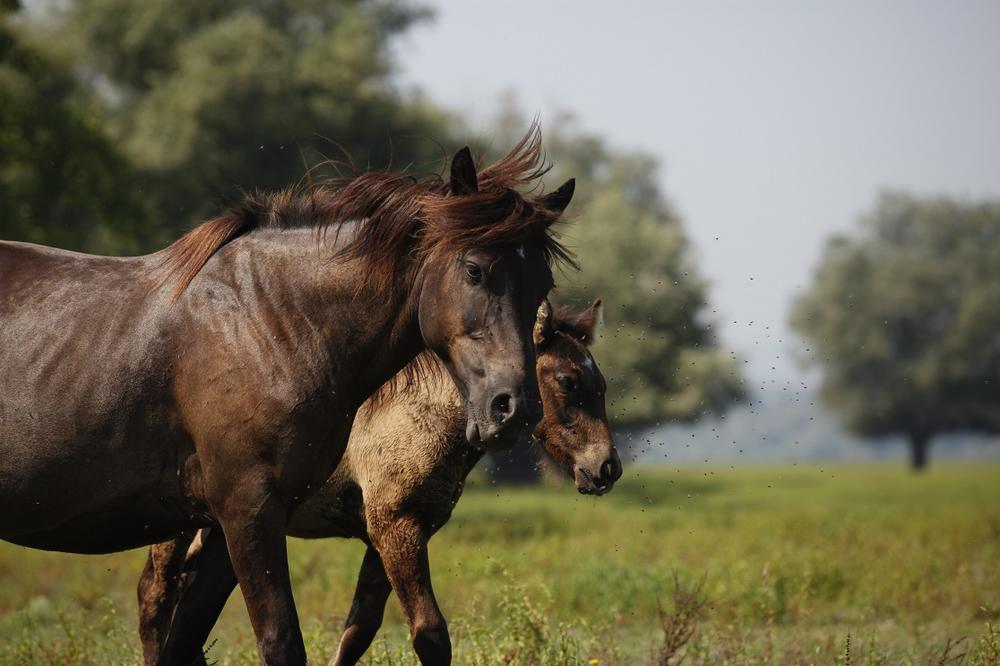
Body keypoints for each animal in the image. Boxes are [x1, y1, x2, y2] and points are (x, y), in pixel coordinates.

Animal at [133, 300, 616, 664]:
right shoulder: (397, 526)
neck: (416, 412)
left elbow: (357, 632)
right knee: (155, 595)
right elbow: (429, 632)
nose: (606, 468)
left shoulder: (388, 533)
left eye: (602, 383)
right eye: (567, 380)